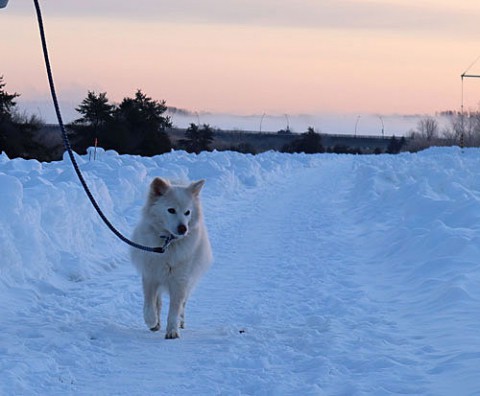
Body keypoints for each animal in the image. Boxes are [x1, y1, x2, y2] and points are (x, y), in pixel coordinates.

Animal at [132, 178, 213, 338]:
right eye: (171, 210)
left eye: (187, 212)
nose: (183, 229)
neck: (168, 243)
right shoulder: (150, 276)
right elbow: (149, 303)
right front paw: (151, 321)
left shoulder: (180, 281)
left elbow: (174, 310)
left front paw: (172, 331)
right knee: (157, 302)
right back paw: (156, 324)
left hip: (189, 282)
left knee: (183, 305)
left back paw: (180, 322)